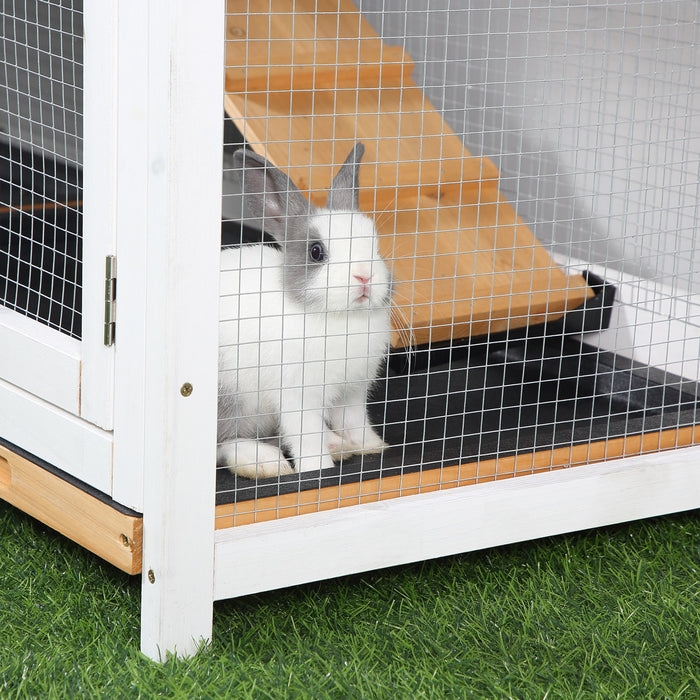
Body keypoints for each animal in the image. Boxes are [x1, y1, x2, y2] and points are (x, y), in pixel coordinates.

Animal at [217, 144, 394, 478]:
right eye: (316, 252)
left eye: (376, 246)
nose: (364, 276)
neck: (340, 317)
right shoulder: (299, 396)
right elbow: (307, 437)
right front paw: (318, 468)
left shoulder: (352, 392)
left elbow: (355, 422)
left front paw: (372, 446)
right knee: (224, 443)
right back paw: (266, 462)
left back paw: (339, 446)